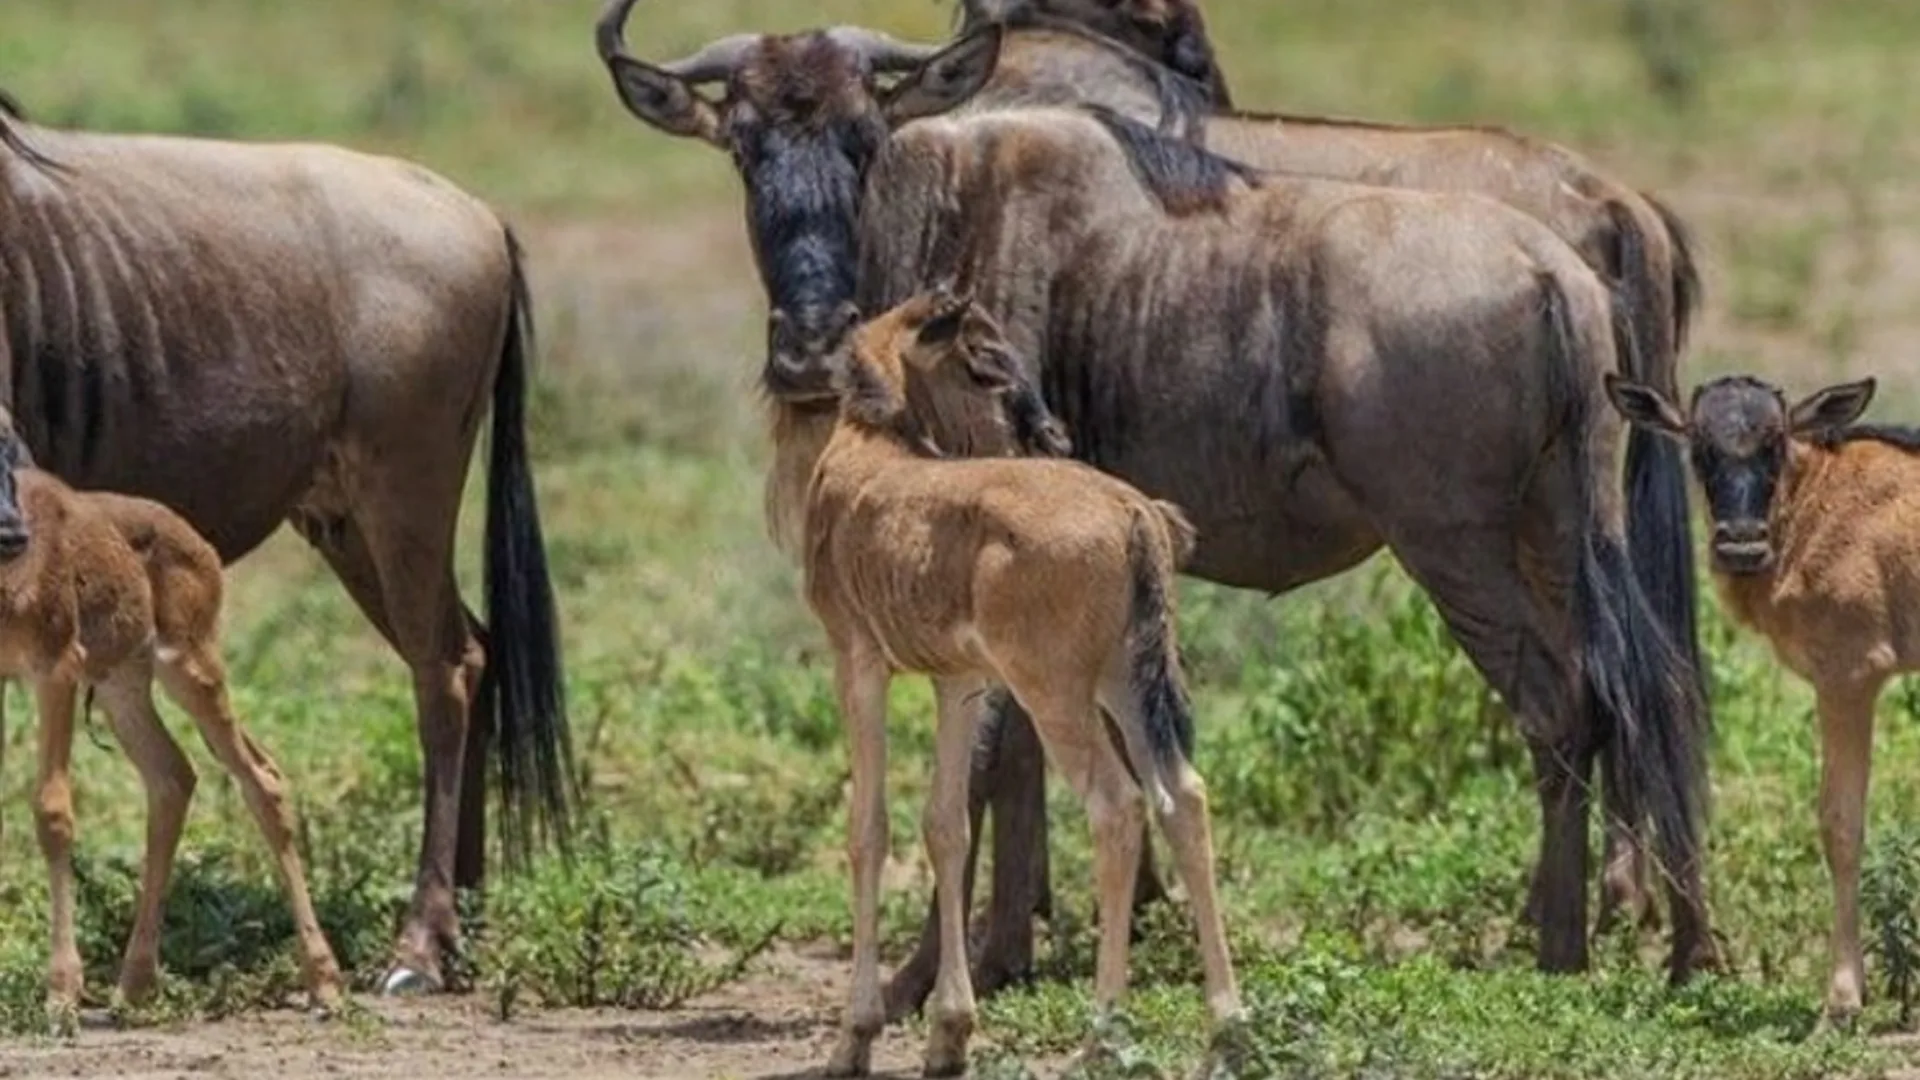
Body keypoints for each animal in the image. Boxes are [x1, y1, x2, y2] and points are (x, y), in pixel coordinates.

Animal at [0, 413, 341, 1014]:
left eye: (7, 439)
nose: (13, 532)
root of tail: (197, 542)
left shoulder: (57, 668)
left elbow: (53, 811)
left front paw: (61, 991)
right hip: (122, 685)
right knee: (173, 776)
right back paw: (136, 981)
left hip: (190, 668)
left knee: (261, 780)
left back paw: (324, 980)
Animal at [797, 289, 1236, 1076]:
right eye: (984, 362)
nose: (1052, 434)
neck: (871, 445)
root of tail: (1133, 514)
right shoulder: (959, 682)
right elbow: (947, 824)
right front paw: (948, 1035)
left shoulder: (859, 662)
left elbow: (868, 829)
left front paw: (855, 1037)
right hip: (1126, 684)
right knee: (1181, 795)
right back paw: (1230, 1030)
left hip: (1056, 693)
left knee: (1118, 805)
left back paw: (1102, 1035)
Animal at [1608, 371, 1915, 1024]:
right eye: (1699, 448)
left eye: (1774, 443)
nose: (1741, 548)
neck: (1812, 502)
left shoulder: (1850, 676)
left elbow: (1840, 826)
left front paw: (1841, 1002)